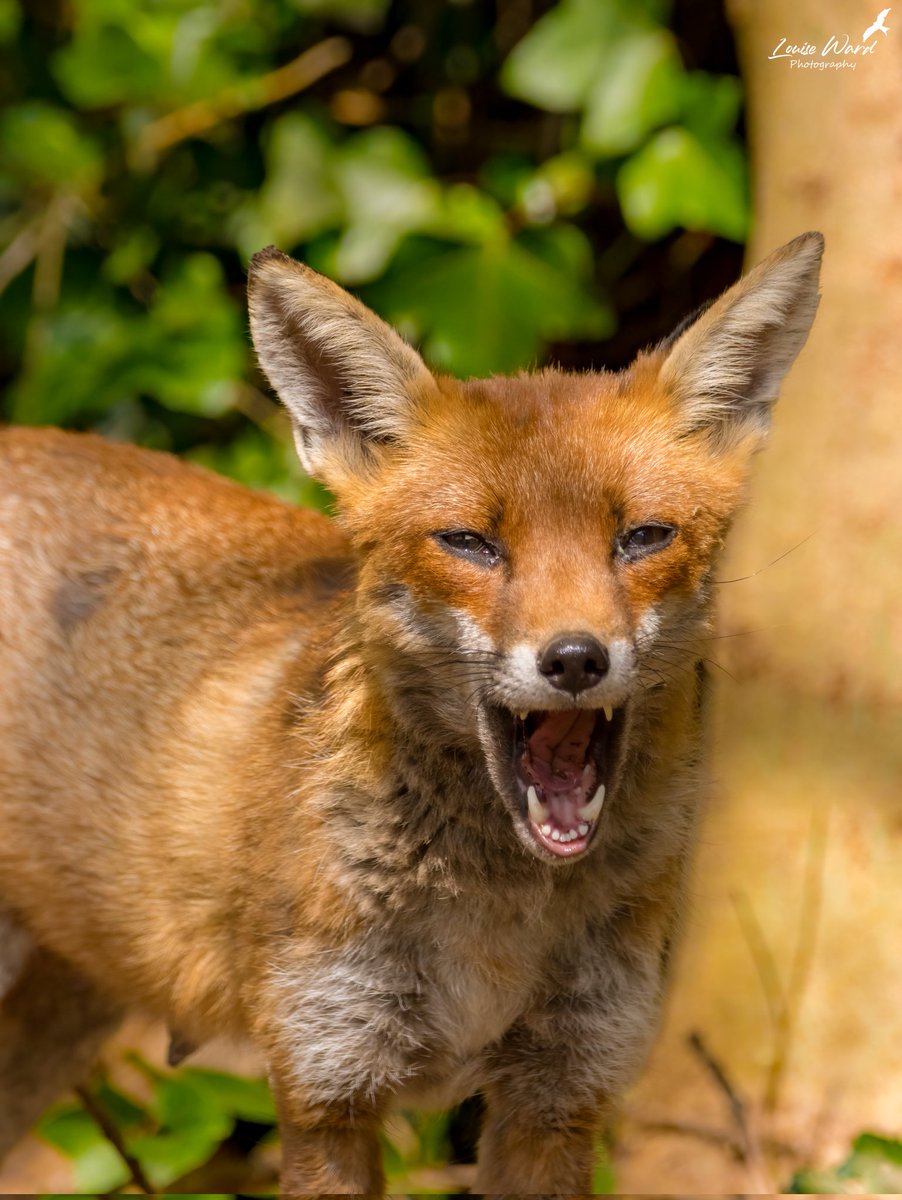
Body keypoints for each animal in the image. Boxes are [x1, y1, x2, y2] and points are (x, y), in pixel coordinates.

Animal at [0, 232, 823, 1193]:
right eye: (470, 543)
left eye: (644, 537)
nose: (576, 659)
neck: (496, 926)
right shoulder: (326, 1087)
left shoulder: (559, 1095)